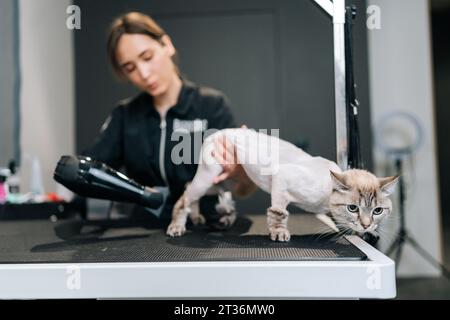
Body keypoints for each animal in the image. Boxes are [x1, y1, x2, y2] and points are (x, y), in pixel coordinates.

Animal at [167, 127, 400, 240]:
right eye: (353, 208)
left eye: (378, 211)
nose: (366, 224)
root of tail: (216, 132)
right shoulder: (281, 178)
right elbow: (278, 212)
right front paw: (279, 233)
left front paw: (367, 233)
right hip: (209, 175)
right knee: (185, 195)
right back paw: (177, 227)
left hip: (230, 180)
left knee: (202, 191)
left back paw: (212, 218)